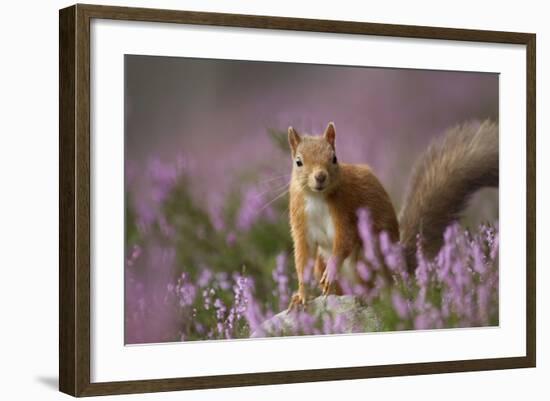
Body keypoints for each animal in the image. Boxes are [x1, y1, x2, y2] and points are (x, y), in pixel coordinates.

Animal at [288, 120, 500, 308]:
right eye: (298, 162)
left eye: (334, 158)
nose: (320, 176)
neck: (317, 197)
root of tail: (397, 263)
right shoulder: (301, 221)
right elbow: (303, 257)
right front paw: (301, 295)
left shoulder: (345, 209)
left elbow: (345, 240)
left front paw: (331, 271)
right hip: (322, 263)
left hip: (367, 257)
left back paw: (367, 296)